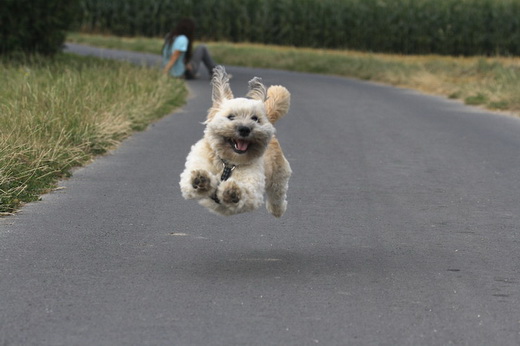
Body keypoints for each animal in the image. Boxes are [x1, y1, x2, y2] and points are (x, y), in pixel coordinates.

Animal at [179, 65, 292, 216]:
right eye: (231, 117)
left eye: (255, 118)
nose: (244, 129)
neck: (227, 163)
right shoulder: (194, 169)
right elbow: (192, 181)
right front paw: (201, 179)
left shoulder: (253, 188)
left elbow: (246, 191)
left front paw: (232, 191)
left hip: (279, 175)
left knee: (278, 193)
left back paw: (277, 209)